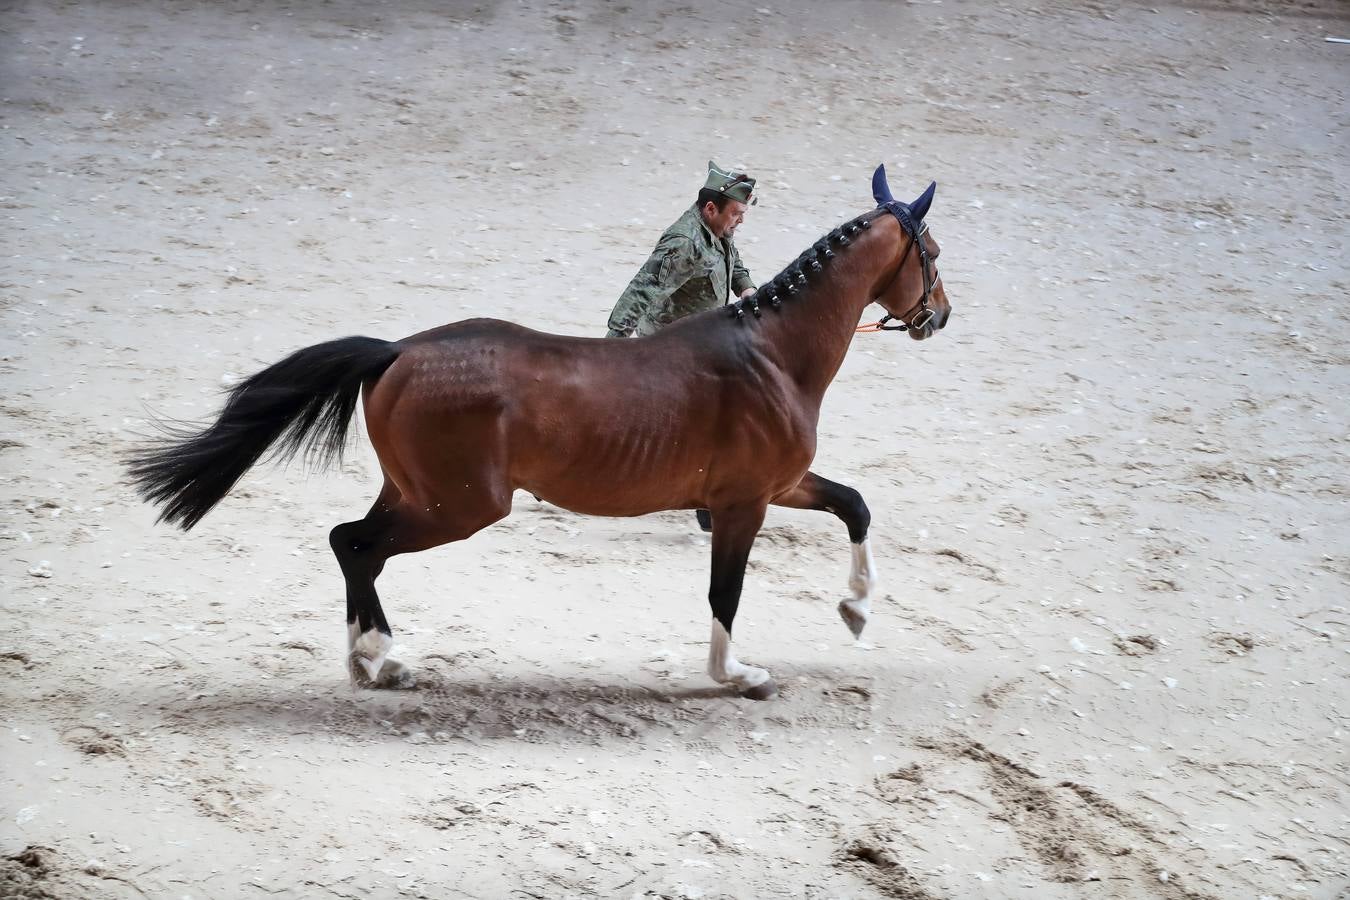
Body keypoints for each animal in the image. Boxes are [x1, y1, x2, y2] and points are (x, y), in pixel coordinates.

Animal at [126, 165, 950, 701]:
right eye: (933, 255)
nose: (938, 315)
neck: (771, 353)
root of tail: (398, 350)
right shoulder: (745, 502)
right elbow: (726, 592)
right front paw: (739, 676)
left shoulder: (778, 486)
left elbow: (854, 504)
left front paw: (855, 611)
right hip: (459, 507)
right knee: (356, 547)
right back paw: (382, 660)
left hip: (417, 494)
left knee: (351, 545)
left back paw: (372, 661)